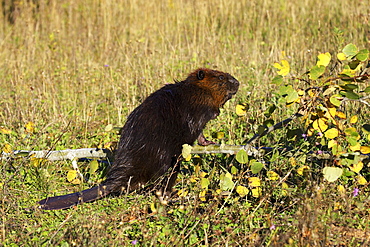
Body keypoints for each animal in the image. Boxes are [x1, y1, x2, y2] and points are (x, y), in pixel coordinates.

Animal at [38, 68, 240, 209]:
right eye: (221, 78)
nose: (237, 83)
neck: (192, 89)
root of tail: (114, 182)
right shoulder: (197, 108)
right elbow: (196, 129)